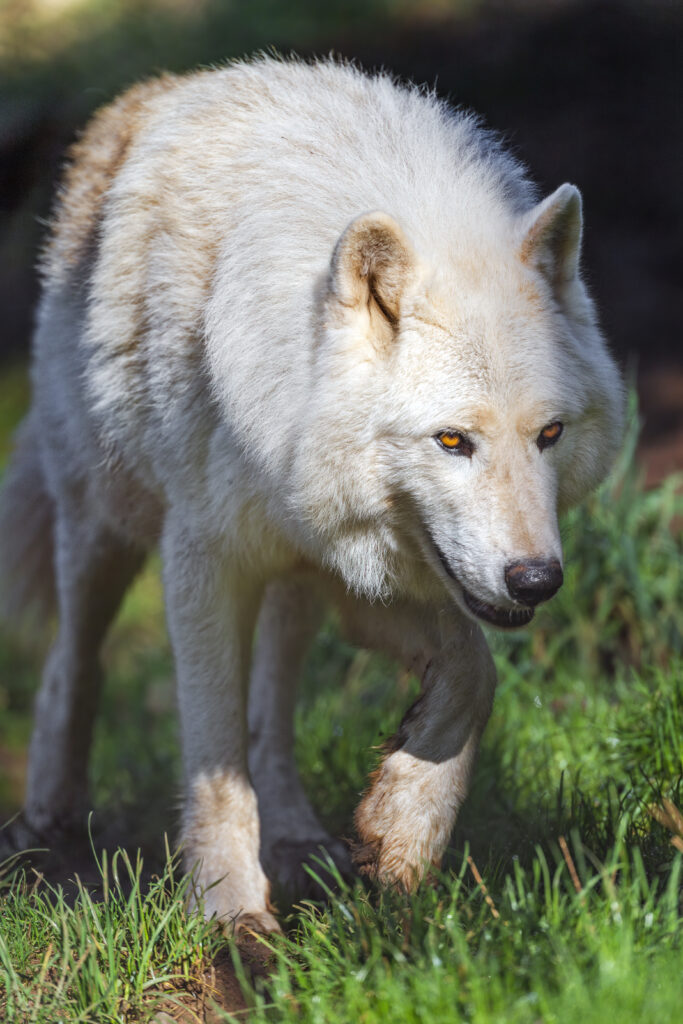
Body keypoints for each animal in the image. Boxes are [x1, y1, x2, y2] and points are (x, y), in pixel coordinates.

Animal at [0, 57, 623, 933]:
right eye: (451, 442)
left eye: (550, 434)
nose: (536, 579)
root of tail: (148, 91)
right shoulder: (201, 559)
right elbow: (215, 755)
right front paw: (229, 913)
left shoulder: (350, 568)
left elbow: (473, 670)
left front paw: (404, 827)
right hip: (102, 525)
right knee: (71, 665)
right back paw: (48, 828)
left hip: (291, 583)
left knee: (273, 710)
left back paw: (296, 838)